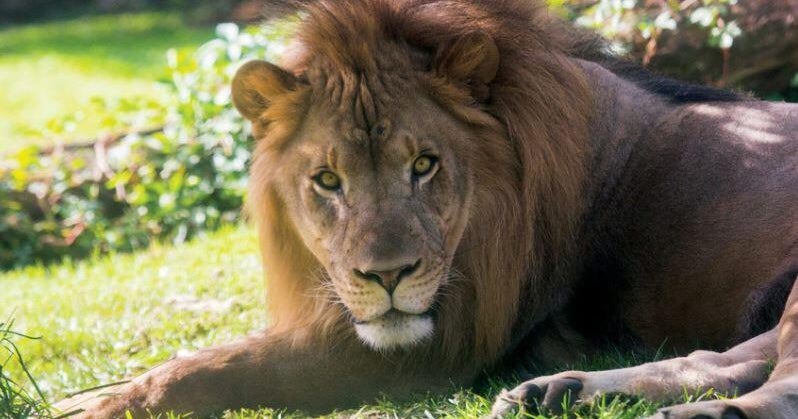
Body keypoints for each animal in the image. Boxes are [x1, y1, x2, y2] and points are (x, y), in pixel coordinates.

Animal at [55, 0, 798, 418]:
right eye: (327, 180)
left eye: (424, 165)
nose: (386, 277)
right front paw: (89, 392)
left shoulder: (443, 346)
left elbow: (219, 367)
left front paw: (99, 405)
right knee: (722, 359)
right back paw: (559, 393)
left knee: (777, 384)